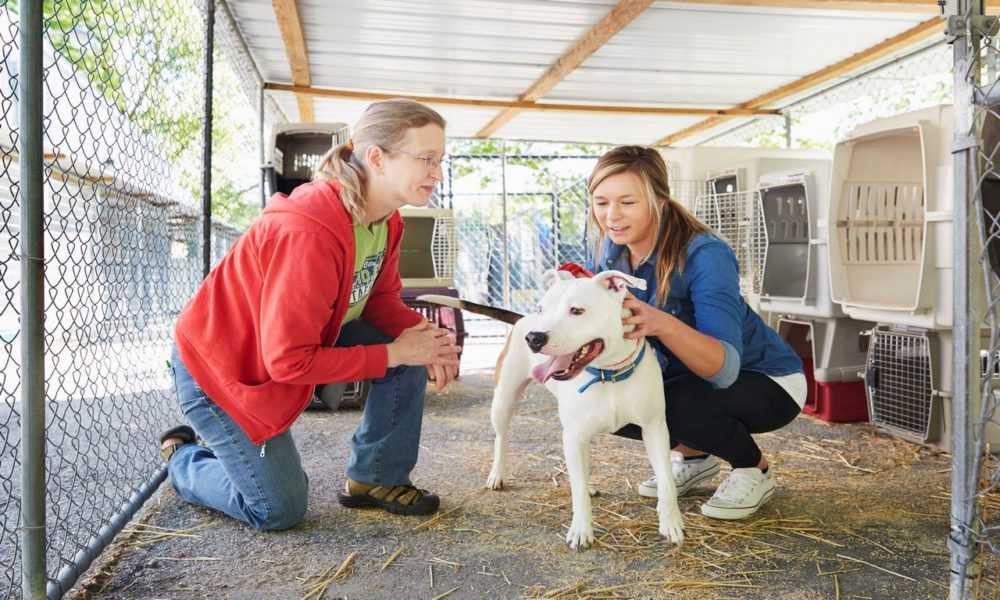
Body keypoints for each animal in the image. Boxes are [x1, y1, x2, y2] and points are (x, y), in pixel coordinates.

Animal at [434, 270, 684, 552]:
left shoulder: (655, 429)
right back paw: (497, 474)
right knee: (501, 436)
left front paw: (671, 523)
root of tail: (522, 319)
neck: (607, 374)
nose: (534, 338)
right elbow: (577, 491)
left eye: (577, 310)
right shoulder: (574, 435)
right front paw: (581, 530)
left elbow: (666, 480)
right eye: (541, 308)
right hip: (503, 400)